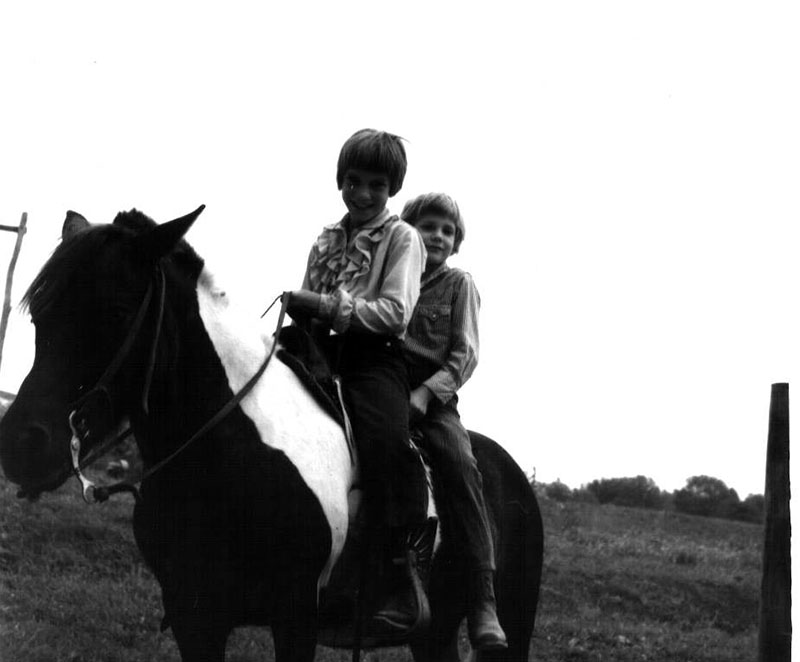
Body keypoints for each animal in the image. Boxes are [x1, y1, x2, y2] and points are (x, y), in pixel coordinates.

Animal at [0, 208, 544, 662]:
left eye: (115, 311)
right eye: (39, 312)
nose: (22, 445)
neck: (228, 456)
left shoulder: (295, 616)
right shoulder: (194, 617)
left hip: (512, 618)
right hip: (435, 631)